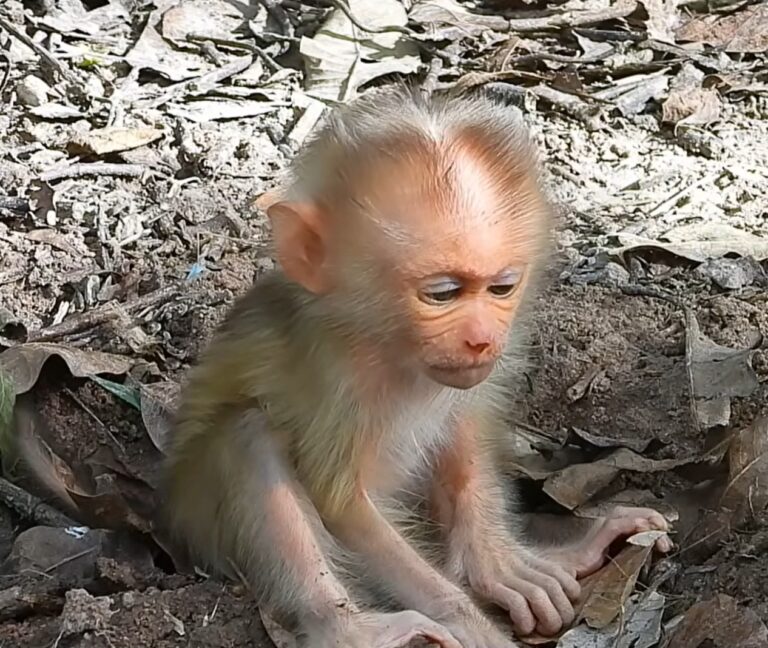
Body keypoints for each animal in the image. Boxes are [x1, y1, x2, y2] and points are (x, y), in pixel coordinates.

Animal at [19, 86, 671, 648]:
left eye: (501, 288)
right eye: (442, 294)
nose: (482, 338)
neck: (387, 348)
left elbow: (461, 434)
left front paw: (501, 565)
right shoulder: (335, 377)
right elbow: (341, 502)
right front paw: (472, 623)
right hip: (197, 520)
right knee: (246, 435)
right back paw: (348, 630)